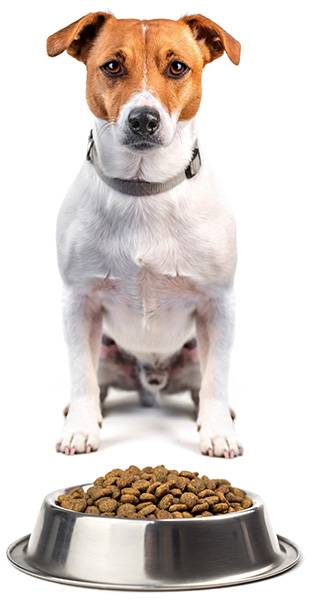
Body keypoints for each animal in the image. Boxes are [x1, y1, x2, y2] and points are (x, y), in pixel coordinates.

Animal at [47, 11, 242, 458]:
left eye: (177, 67)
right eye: (112, 66)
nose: (143, 119)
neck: (143, 189)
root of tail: (151, 381)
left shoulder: (217, 304)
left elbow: (217, 378)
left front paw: (218, 432)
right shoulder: (78, 301)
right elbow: (80, 374)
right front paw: (81, 428)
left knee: (201, 383)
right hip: (105, 348)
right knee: (96, 380)